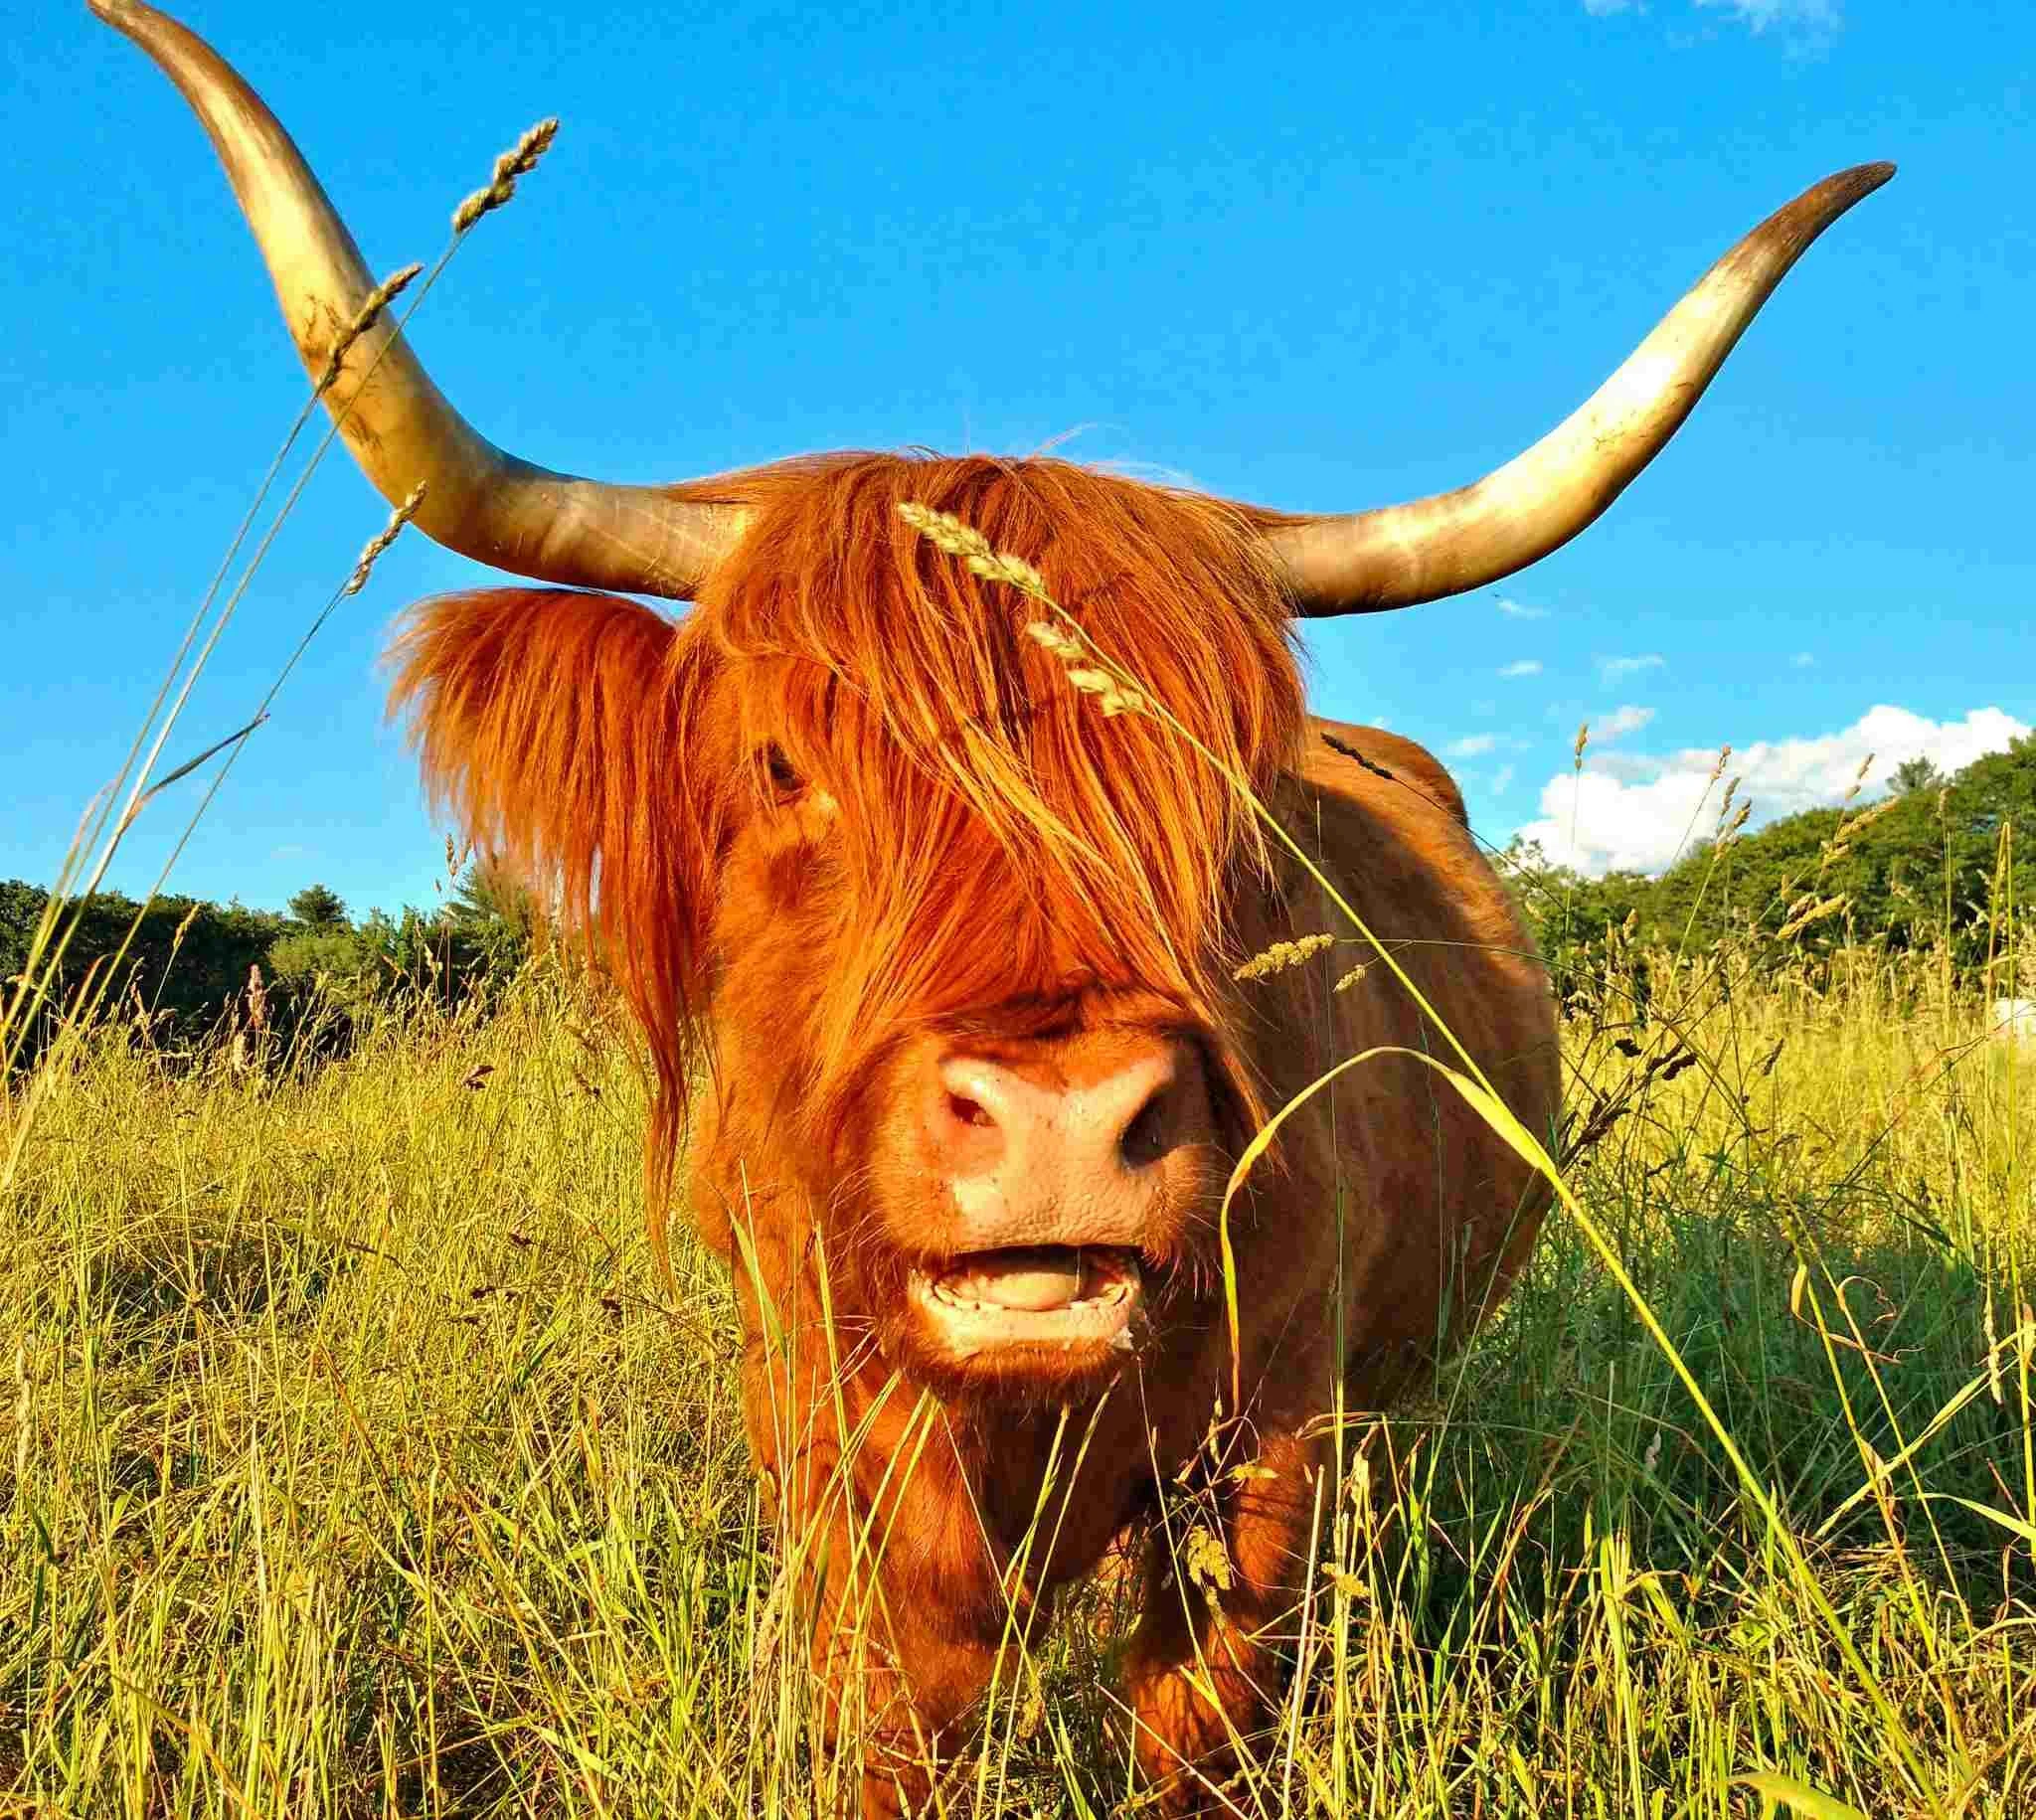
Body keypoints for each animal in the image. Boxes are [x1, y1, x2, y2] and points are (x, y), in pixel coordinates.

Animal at [91, 3, 1891, 1809]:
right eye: (778, 762)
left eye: (1225, 787)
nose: (1062, 1116)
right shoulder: (828, 1430)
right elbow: (904, 1706)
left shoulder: (1275, 1445)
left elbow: (1207, 1716)